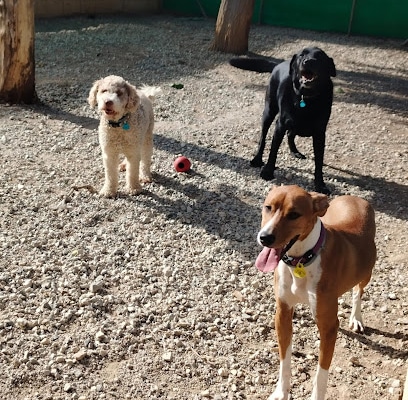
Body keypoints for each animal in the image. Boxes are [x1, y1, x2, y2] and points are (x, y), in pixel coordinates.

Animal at [231, 47, 336, 194]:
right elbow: (273, 150)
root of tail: (279, 64)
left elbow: (319, 161)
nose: (308, 61)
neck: (306, 99)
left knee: (290, 134)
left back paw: (295, 152)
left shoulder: (320, 134)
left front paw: (320, 184)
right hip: (269, 112)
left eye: (320, 56)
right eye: (302, 55)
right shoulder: (280, 125)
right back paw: (257, 159)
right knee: (263, 138)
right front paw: (268, 172)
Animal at [255, 186, 376, 400]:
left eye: (294, 214)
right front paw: (280, 392)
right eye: (268, 207)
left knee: (357, 291)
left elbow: (321, 372)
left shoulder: (328, 327)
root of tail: (355, 197)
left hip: (367, 271)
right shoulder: (282, 313)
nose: (265, 237)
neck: (301, 261)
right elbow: (285, 361)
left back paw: (356, 317)